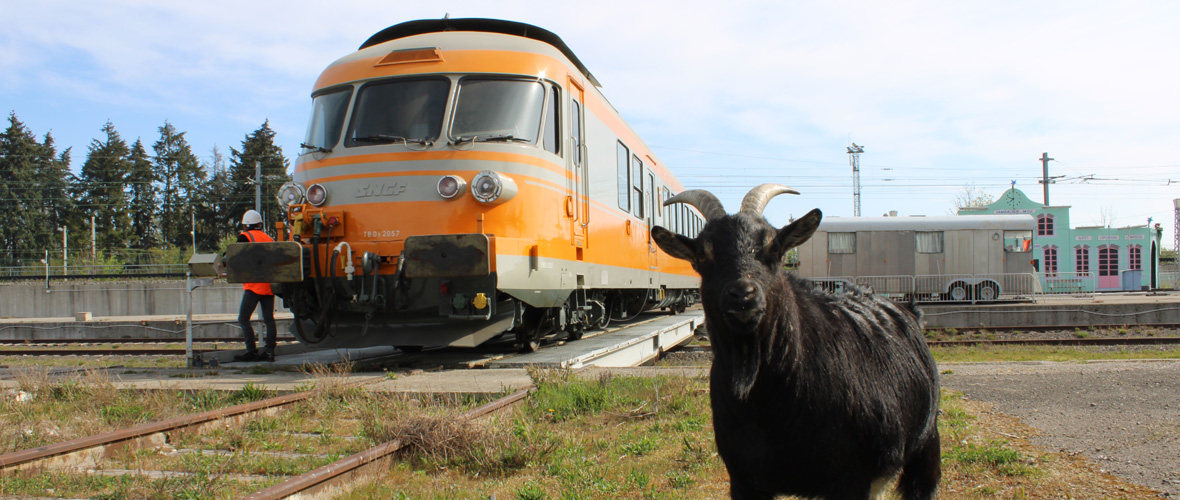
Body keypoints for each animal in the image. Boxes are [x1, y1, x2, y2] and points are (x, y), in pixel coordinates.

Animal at [656, 185, 939, 499]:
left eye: (774, 248)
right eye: (703, 256)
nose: (742, 295)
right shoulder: (744, 479)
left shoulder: (851, 479)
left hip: (926, 445)